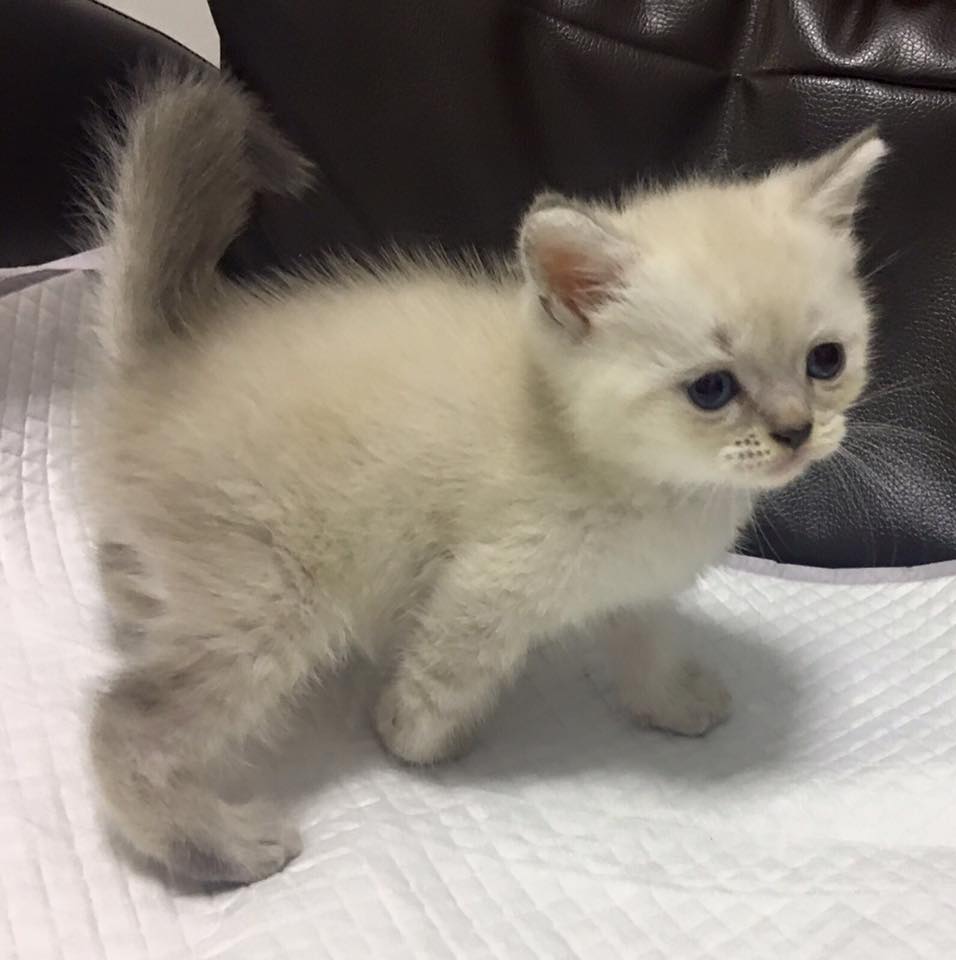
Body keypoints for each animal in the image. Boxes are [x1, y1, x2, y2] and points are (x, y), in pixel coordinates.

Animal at [86, 71, 884, 884]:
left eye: (825, 360)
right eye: (713, 389)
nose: (796, 431)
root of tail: (165, 359)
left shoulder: (638, 584)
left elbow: (645, 645)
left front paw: (671, 704)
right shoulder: (484, 585)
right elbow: (444, 675)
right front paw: (412, 739)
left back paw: (132, 603)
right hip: (273, 597)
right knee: (127, 718)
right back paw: (226, 848)